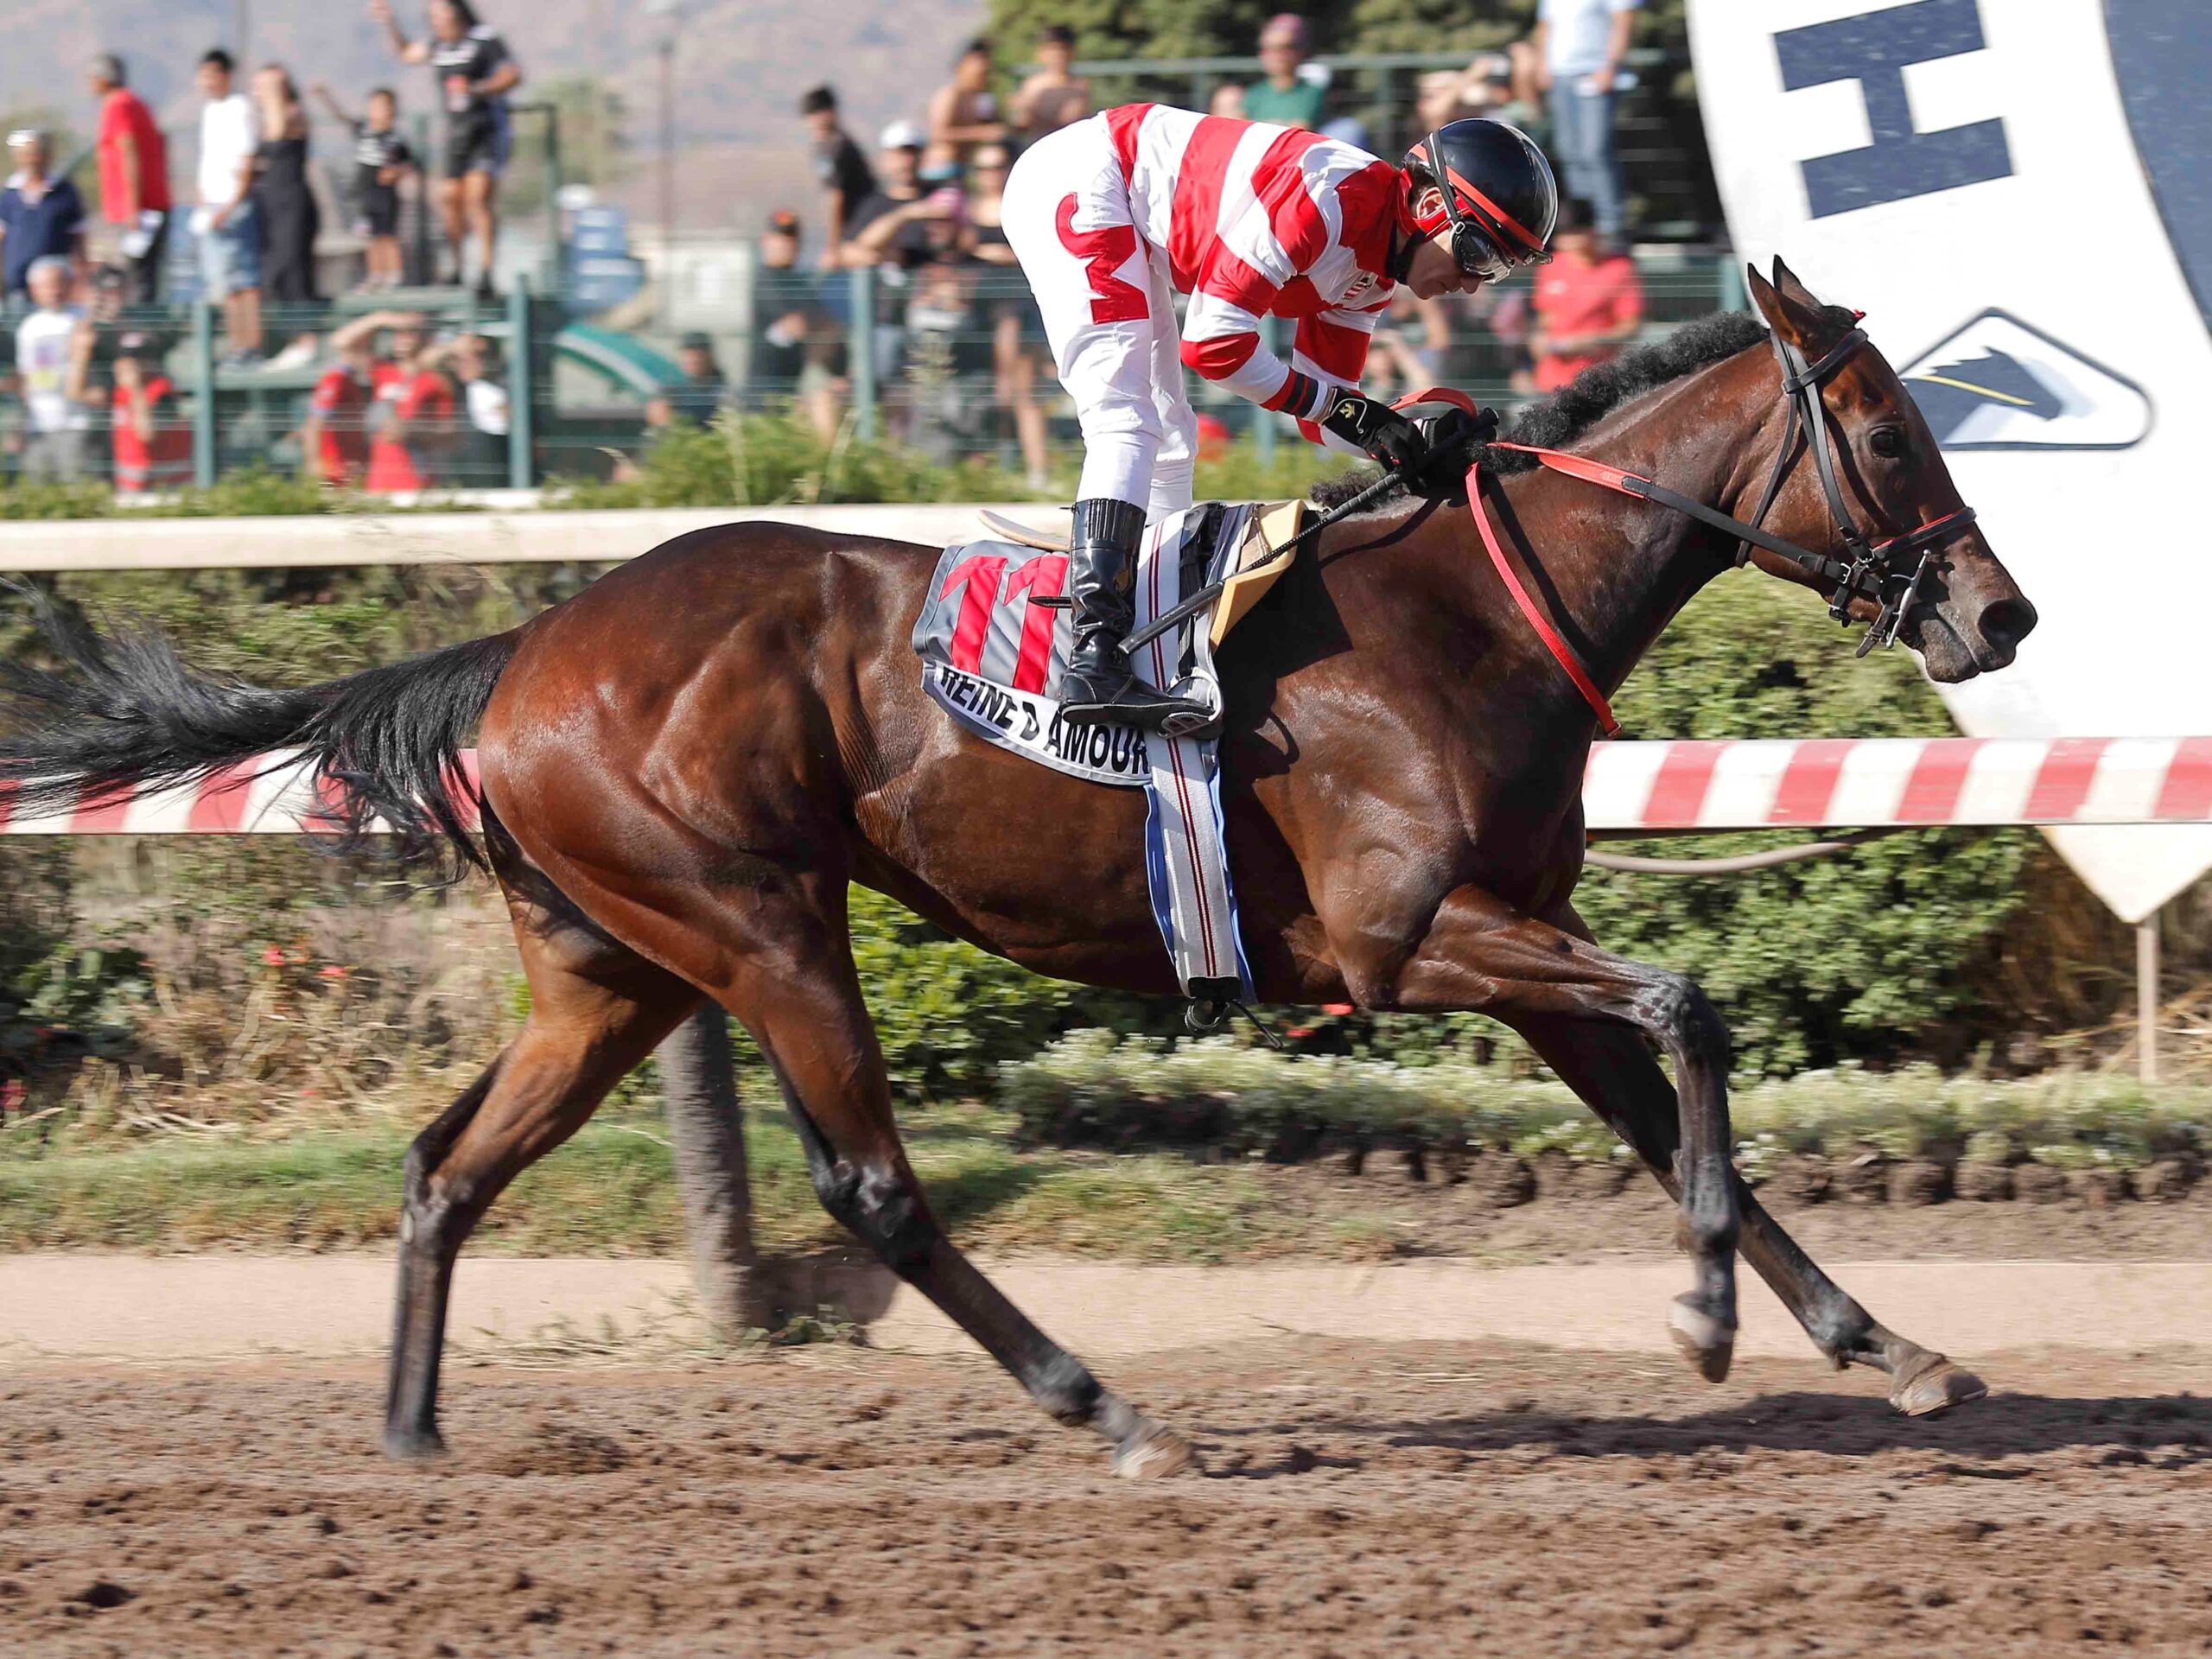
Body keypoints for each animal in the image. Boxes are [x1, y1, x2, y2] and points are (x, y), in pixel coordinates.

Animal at [0, 262, 2035, 1478]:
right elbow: (1691, 1013)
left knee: (449, 1167)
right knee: (874, 1191)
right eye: (1882, 430)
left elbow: (1677, 1107)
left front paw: (1885, 1343)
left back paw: (417, 1439)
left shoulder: (1516, 935)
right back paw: (1112, 1411)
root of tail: (522, 653)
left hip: (613, 967)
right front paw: (1705, 1322)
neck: (1467, 614)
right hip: (760, 926)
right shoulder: (1409, 938)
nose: (1998, 613)